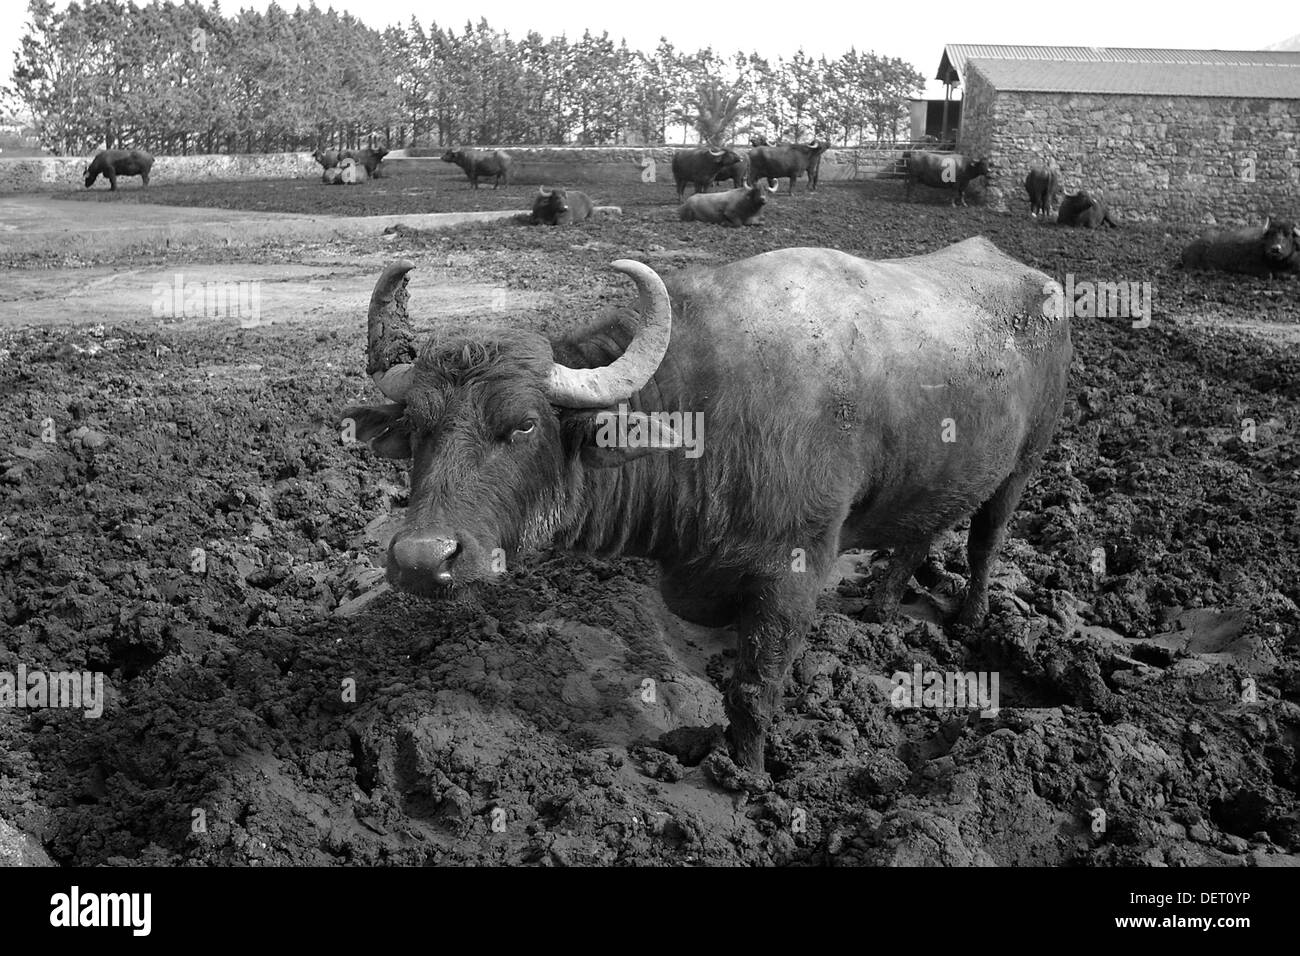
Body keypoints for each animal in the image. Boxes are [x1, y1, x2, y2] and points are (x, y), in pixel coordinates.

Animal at [340, 238, 1071, 771]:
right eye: (418, 426)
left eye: (522, 426)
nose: (420, 558)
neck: (710, 416)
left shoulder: (794, 574)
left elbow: (753, 689)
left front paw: (745, 773)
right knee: (918, 532)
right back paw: (880, 605)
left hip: (1024, 464)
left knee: (984, 540)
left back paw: (971, 617)